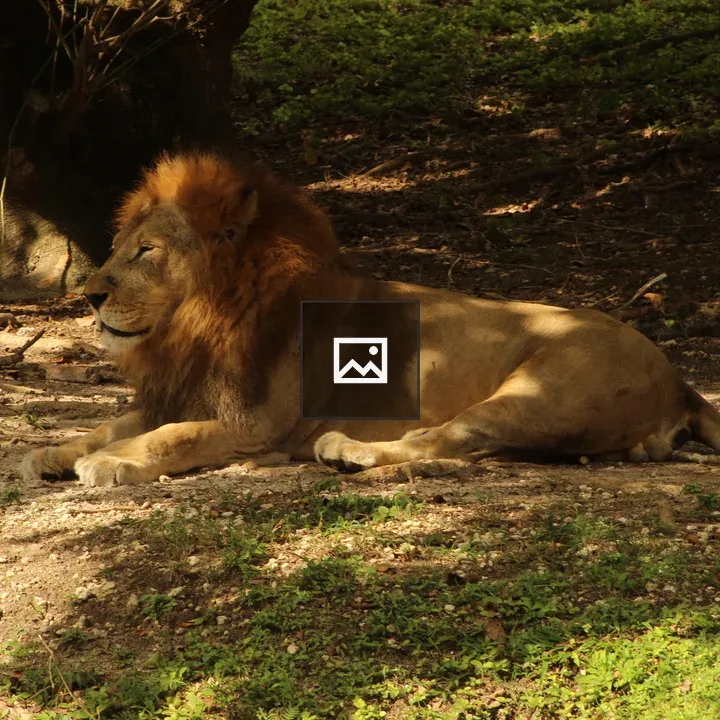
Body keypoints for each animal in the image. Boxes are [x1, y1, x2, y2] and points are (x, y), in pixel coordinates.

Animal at [19, 152, 720, 487]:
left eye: (146, 251)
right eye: (120, 245)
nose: (89, 296)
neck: (199, 326)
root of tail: (678, 377)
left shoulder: (257, 425)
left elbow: (173, 437)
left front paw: (110, 463)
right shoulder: (183, 391)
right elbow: (110, 424)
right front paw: (53, 452)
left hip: (540, 389)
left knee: (447, 441)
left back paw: (346, 451)